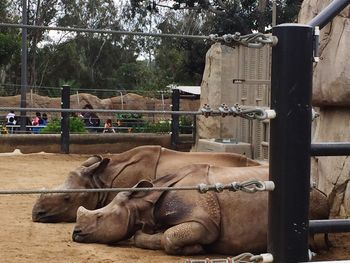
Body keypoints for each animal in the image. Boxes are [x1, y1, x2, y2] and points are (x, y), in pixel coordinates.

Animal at [72, 165, 330, 256]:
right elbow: (148, 235)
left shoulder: (205, 223)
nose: (75, 234)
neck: (143, 203)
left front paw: (196, 249)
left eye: (100, 216)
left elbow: (170, 237)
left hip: (313, 197)